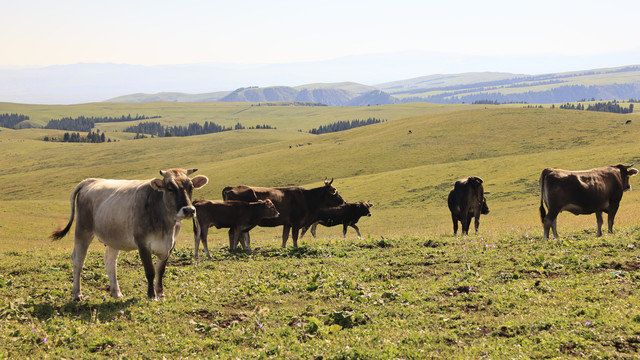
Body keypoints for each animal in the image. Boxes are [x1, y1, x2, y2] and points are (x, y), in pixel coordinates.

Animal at [51, 169, 210, 300]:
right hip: (83, 230)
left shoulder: (170, 244)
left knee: (110, 261)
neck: (166, 225)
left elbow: (161, 270)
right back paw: (77, 294)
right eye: (170, 188)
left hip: (113, 236)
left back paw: (116, 292)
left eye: (191, 187)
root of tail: (90, 180)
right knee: (78, 260)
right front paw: (151, 295)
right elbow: (150, 271)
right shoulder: (142, 243)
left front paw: (160, 293)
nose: (189, 210)